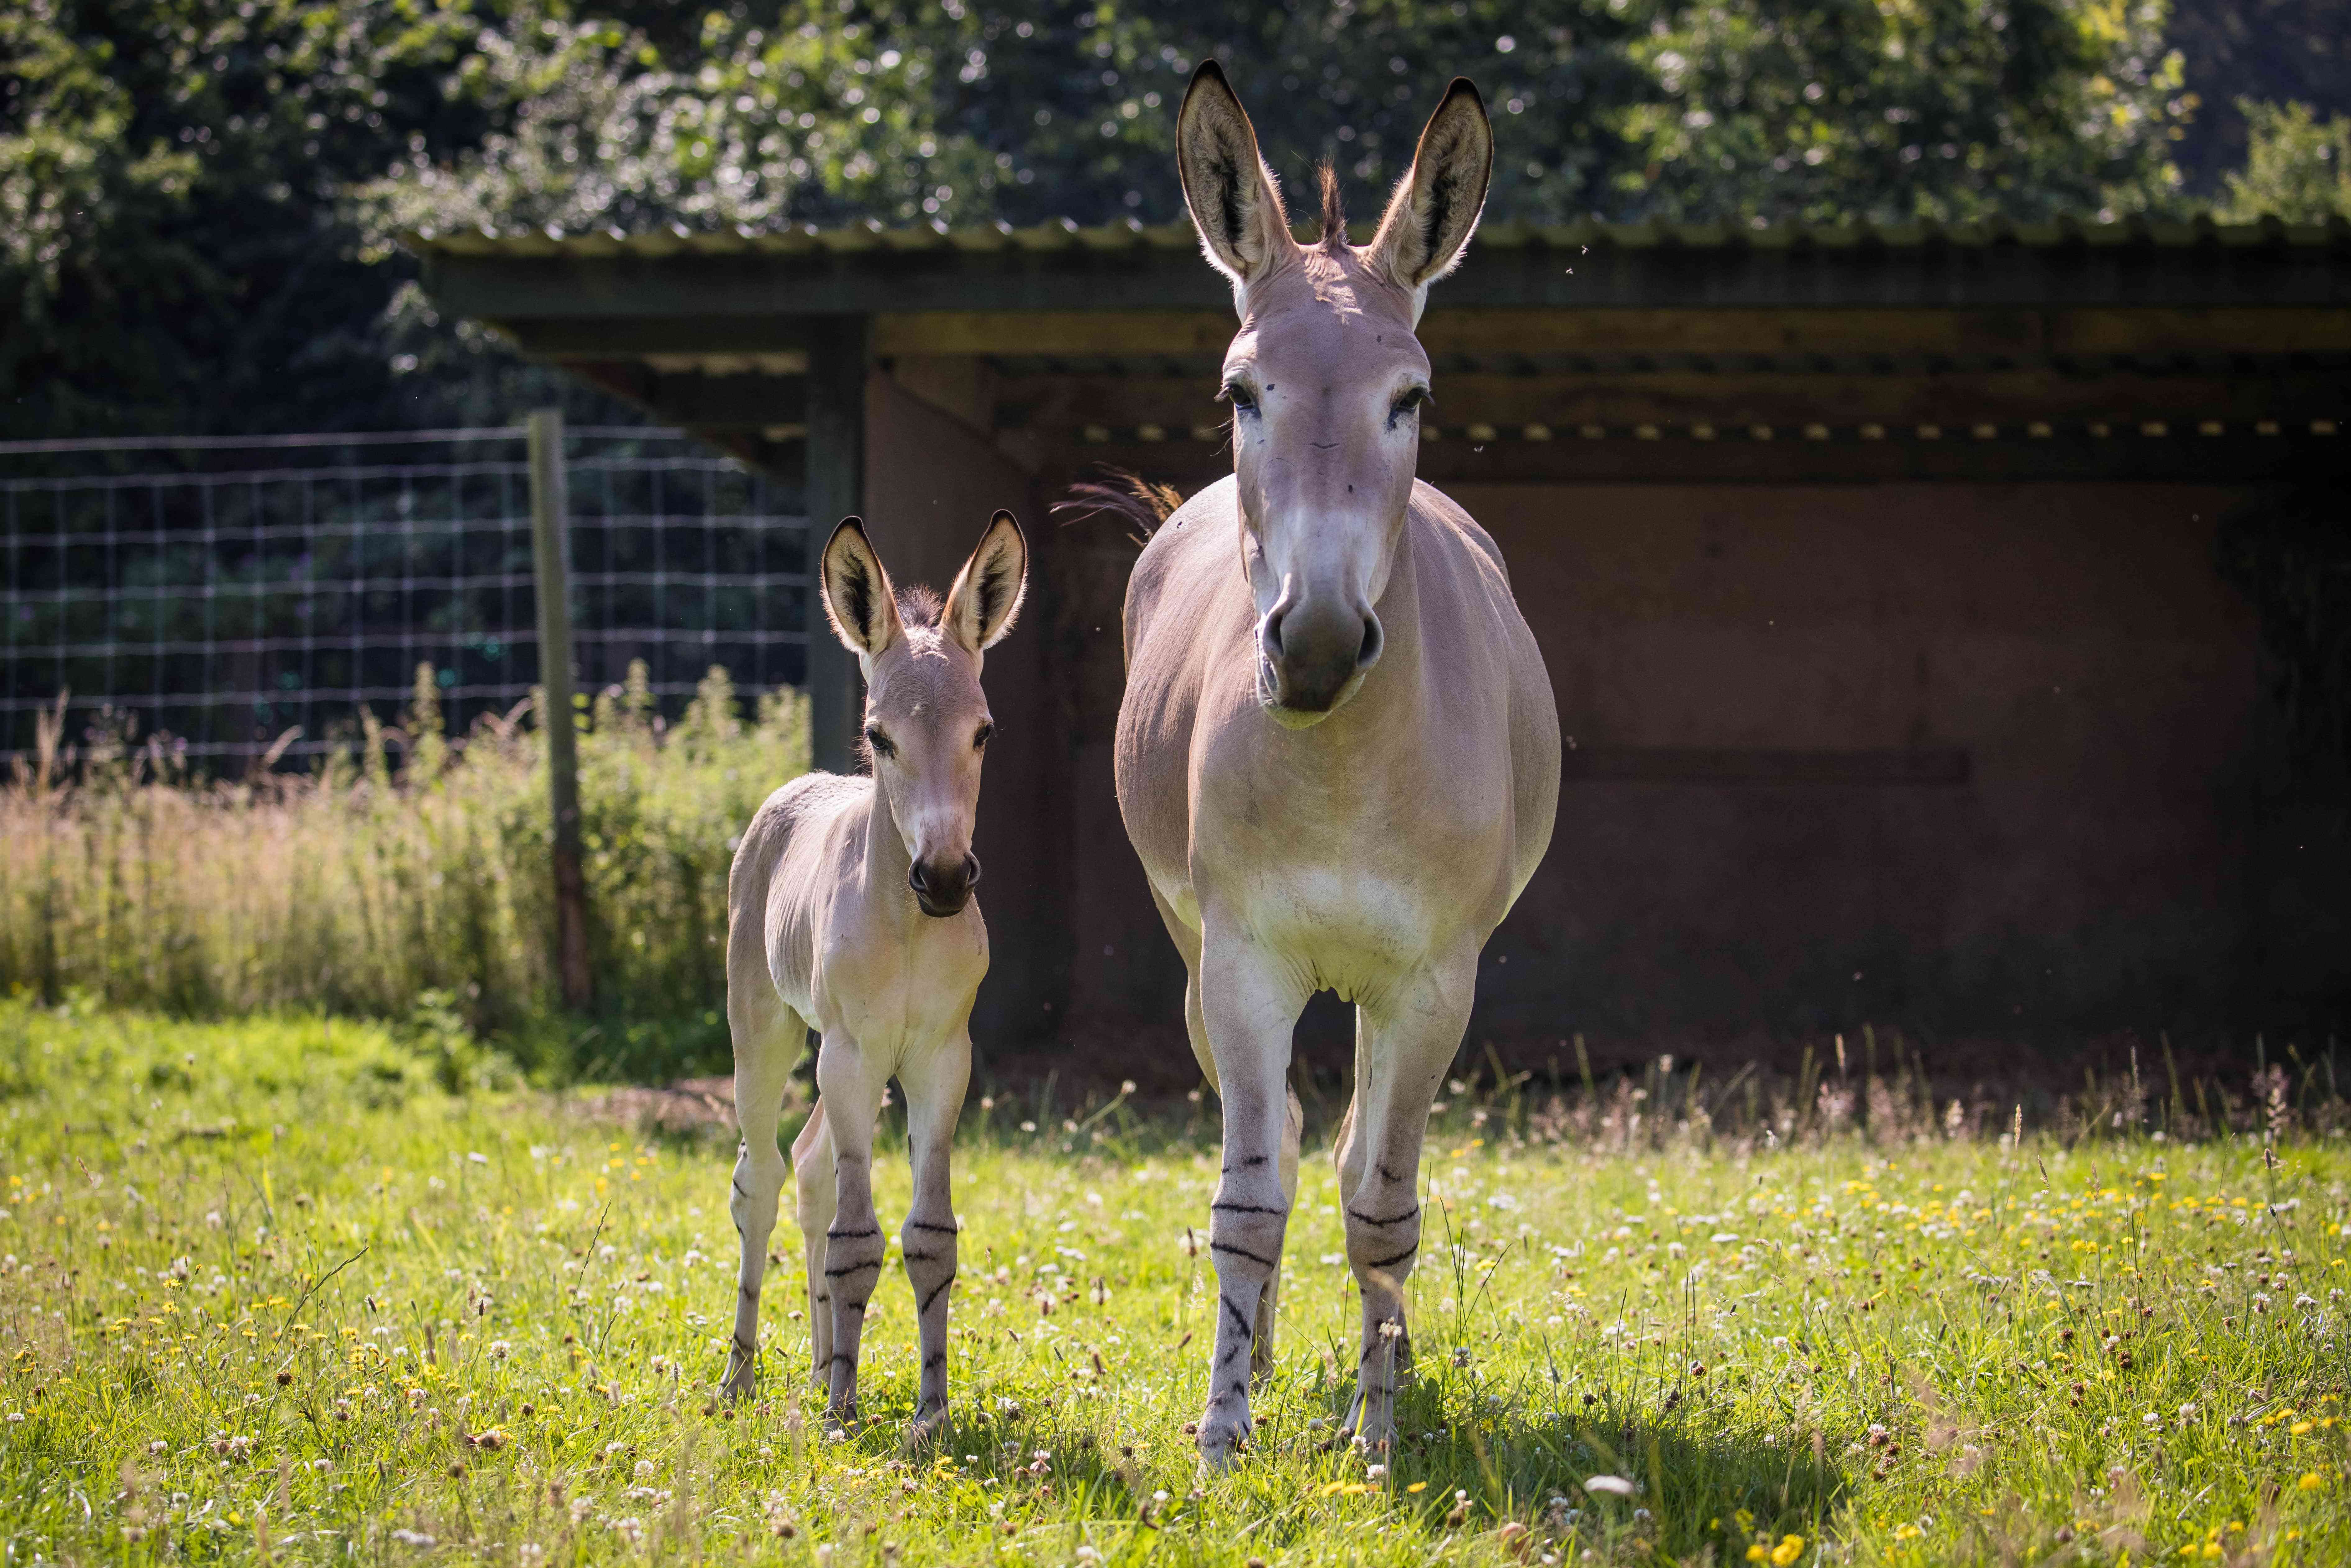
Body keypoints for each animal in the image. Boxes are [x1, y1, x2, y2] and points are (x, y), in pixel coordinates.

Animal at [719, 510, 1025, 1438]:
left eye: (983, 732)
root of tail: (794, 790)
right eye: (883, 735)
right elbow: (858, 1240)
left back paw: (824, 1365)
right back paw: (743, 1377)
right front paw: (845, 1418)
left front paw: (930, 1411)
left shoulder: (938, 1062)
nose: (947, 879)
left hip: (843, 1064)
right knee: (762, 1179)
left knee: (812, 1168)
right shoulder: (853, 1056)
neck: (908, 930)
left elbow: (930, 1235)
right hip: (774, 1037)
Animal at [1119, 67, 1561, 1467]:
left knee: (1369, 1152)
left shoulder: (1431, 979)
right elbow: (1249, 1201)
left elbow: (1382, 1205)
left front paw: (1376, 1436)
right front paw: (1222, 1431)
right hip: (1193, 958)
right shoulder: (1242, 964)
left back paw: (1390, 1362)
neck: (1341, 777)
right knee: (1291, 1140)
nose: (1312, 647)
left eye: (1408, 399)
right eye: (1238, 391)